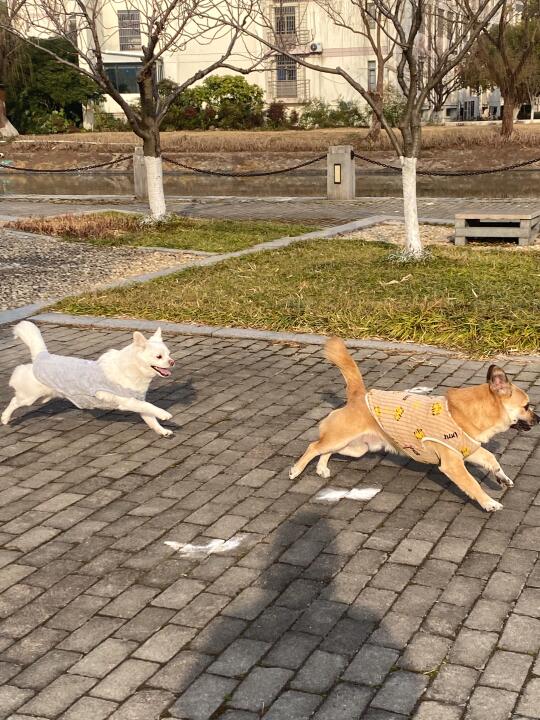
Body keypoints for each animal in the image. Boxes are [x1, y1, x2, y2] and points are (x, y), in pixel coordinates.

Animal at [2, 321, 175, 436]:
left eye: (169, 354)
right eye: (159, 357)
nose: (172, 362)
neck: (132, 370)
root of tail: (41, 356)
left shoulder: (137, 402)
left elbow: (150, 416)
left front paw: (162, 430)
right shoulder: (128, 402)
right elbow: (150, 406)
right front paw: (164, 414)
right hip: (29, 397)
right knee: (14, 401)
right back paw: (4, 418)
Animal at [289, 337, 538, 512]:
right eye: (527, 406)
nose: (539, 419)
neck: (462, 413)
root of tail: (359, 395)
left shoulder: (469, 450)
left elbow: (491, 459)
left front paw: (502, 478)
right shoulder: (453, 464)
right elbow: (472, 484)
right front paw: (488, 503)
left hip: (356, 448)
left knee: (325, 450)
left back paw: (322, 468)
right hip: (342, 438)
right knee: (314, 447)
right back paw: (296, 470)